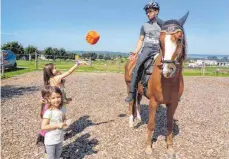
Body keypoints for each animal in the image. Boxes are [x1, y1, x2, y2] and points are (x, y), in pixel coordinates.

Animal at [124, 12, 189, 157]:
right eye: (160, 41)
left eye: (179, 39)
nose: (167, 70)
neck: (168, 82)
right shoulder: (153, 102)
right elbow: (151, 124)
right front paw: (148, 148)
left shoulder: (173, 103)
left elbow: (169, 125)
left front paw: (170, 148)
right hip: (129, 87)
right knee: (131, 102)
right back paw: (131, 123)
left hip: (140, 91)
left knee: (137, 102)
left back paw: (139, 118)